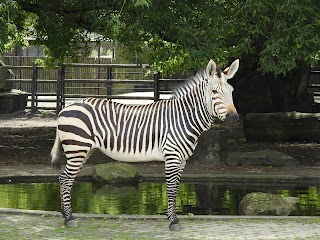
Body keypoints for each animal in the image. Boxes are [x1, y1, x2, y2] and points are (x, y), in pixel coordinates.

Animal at [50, 58, 240, 231]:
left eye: (231, 91)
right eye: (214, 91)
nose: (234, 118)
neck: (183, 118)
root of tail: (65, 107)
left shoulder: (182, 160)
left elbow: (177, 187)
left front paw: (173, 217)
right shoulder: (172, 156)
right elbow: (171, 188)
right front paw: (173, 221)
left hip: (83, 150)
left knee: (65, 178)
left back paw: (64, 214)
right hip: (77, 148)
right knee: (65, 178)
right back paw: (69, 218)